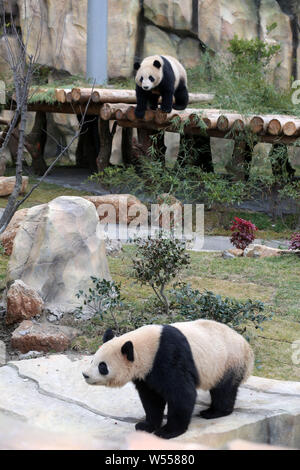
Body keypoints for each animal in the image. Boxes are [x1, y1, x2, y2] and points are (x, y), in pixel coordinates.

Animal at [82, 320, 253, 440]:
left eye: (102, 366)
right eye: (92, 360)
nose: (85, 375)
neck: (147, 347)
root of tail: (247, 346)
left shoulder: (169, 357)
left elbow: (182, 394)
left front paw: (167, 431)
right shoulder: (146, 373)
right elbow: (151, 399)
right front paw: (146, 425)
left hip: (229, 361)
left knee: (224, 389)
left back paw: (213, 412)